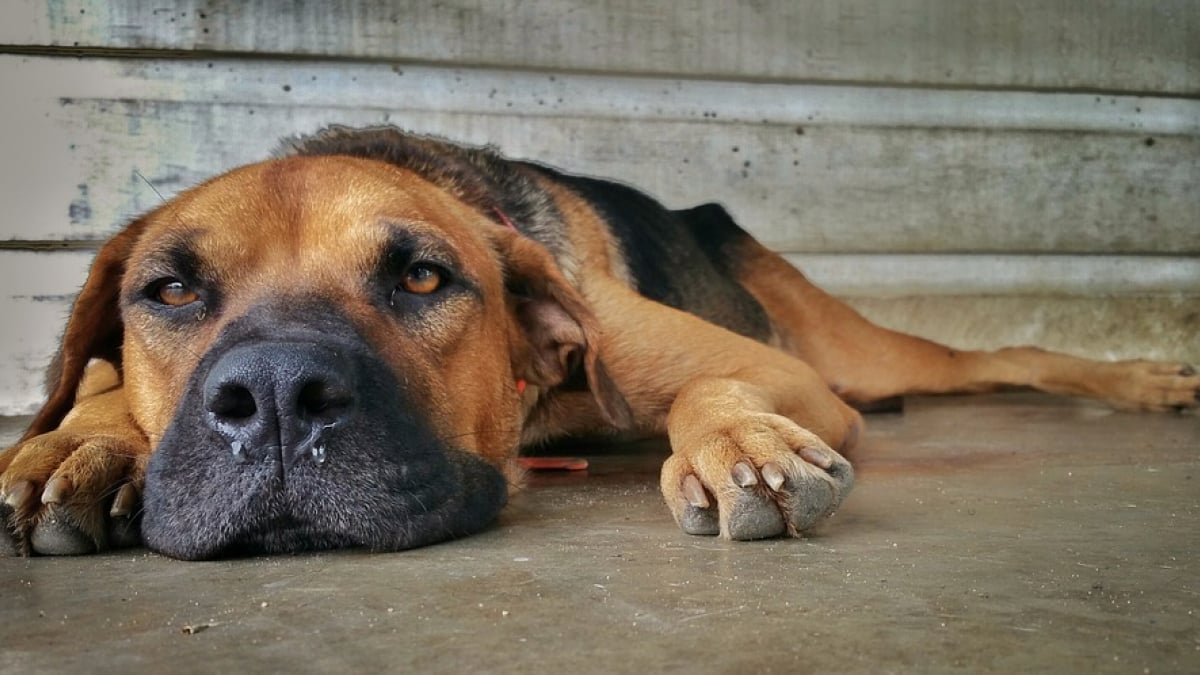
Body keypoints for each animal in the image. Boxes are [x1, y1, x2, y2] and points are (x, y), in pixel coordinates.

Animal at [2, 126, 1200, 557]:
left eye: (423, 276)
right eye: (169, 291)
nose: (281, 398)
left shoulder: (783, 372)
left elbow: (712, 391)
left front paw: (739, 447)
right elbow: (93, 388)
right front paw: (80, 441)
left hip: (856, 355)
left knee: (1008, 358)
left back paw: (1152, 380)